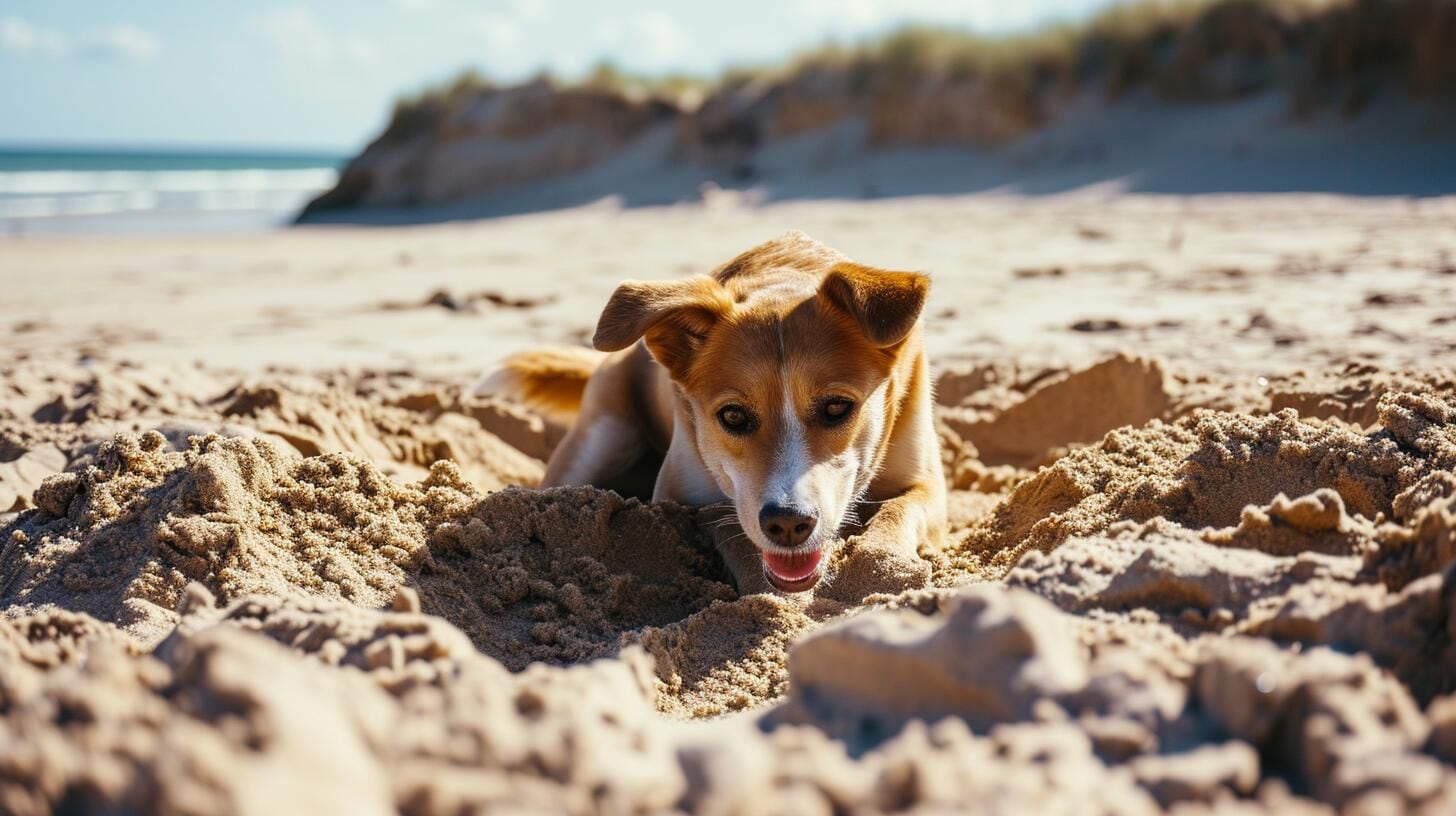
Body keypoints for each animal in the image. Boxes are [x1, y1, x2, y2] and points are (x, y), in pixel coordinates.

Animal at [483, 233, 949, 597]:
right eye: (733, 416)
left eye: (837, 406)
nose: (787, 524)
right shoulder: (682, 498)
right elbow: (731, 530)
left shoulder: (927, 486)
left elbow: (898, 512)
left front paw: (881, 569)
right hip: (597, 441)